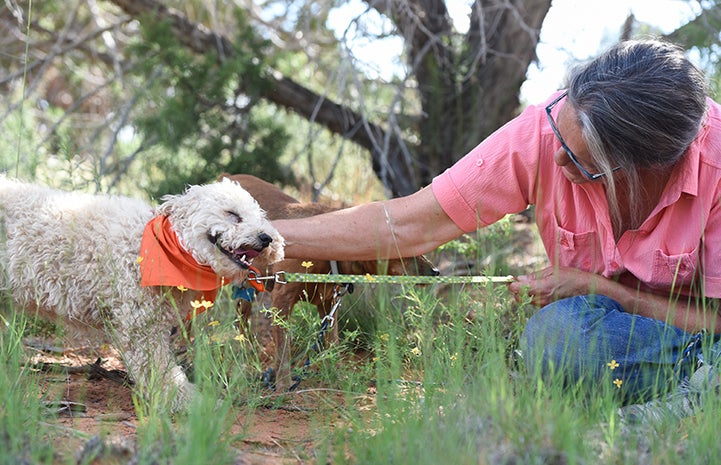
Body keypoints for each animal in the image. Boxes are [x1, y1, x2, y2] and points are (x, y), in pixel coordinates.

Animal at [0, 177, 286, 410]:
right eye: (232, 214)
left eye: (258, 215)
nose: (266, 238)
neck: (170, 249)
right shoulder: (142, 325)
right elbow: (160, 371)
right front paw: (187, 403)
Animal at [217, 172, 436, 390]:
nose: (436, 272)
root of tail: (227, 176)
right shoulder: (282, 300)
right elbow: (283, 348)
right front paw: (283, 384)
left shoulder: (328, 305)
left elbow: (333, 344)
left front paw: (337, 376)